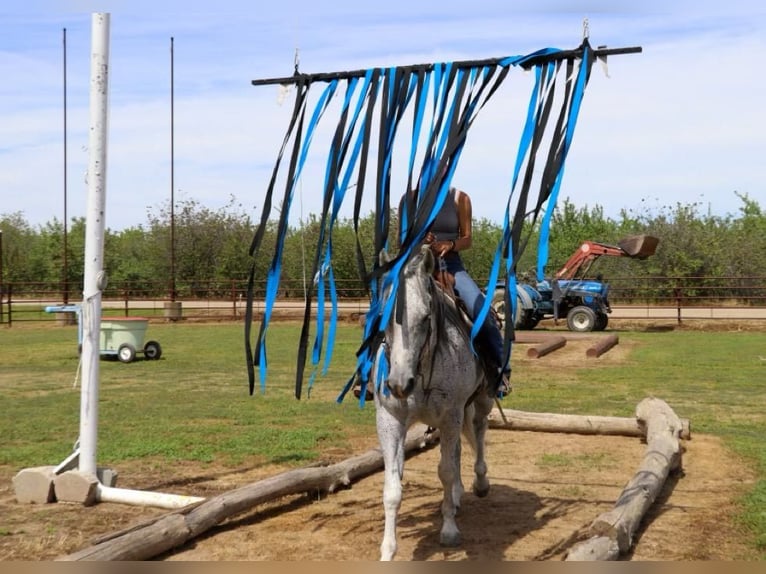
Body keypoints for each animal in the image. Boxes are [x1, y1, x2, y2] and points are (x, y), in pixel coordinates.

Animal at [374, 246, 496, 564]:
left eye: (426, 317)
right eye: (382, 316)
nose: (399, 384)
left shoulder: (451, 415)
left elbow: (446, 471)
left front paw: (449, 531)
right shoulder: (390, 421)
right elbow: (392, 488)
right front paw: (388, 550)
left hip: (482, 401)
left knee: (479, 432)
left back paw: (479, 484)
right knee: (457, 450)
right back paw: (457, 497)